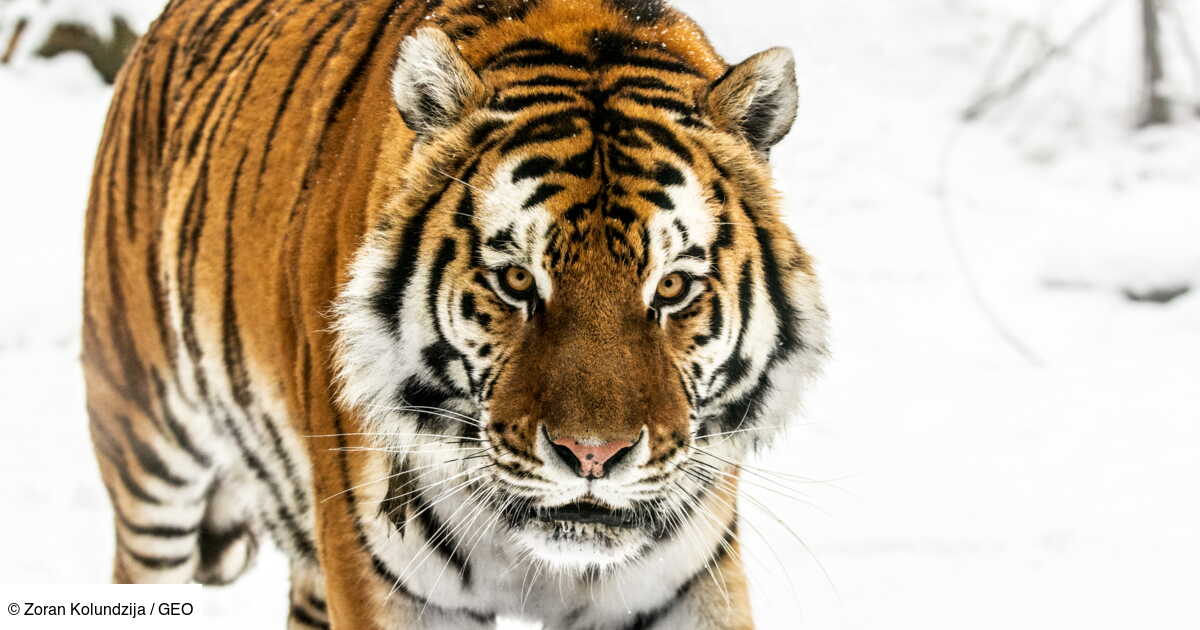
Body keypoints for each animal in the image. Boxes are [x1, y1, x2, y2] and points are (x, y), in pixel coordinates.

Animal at [82, 0, 830, 627]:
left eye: (672, 287)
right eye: (516, 280)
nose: (593, 455)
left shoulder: (685, 579)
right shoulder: (381, 579)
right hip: (147, 452)